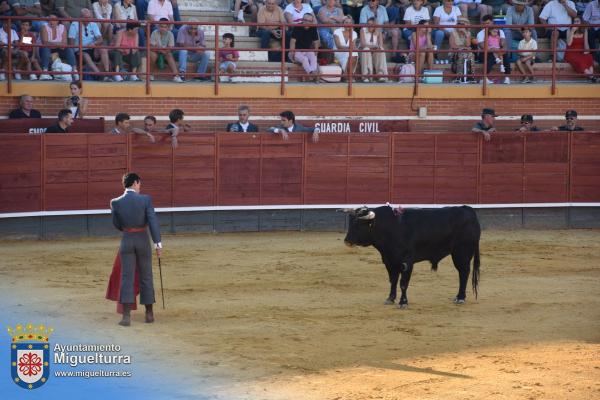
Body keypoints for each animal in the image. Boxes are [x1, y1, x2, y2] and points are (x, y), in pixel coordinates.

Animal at [344, 205, 480, 308]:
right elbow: (393, 280)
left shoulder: (406, 262)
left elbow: (403, 283)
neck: (391, 227)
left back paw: (460, 297)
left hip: (462, 252)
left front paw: (403, 302)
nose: (347, 241)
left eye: (359, 224)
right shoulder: (389, 261)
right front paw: (390, 298)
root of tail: (467, 209)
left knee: (464, 272)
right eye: (350, 223)